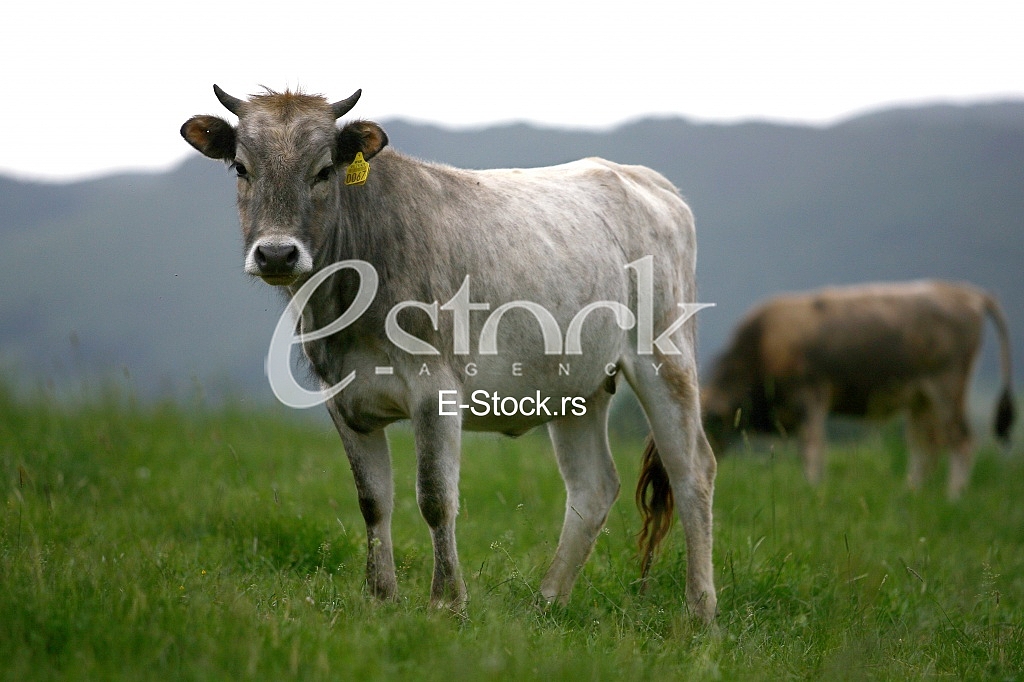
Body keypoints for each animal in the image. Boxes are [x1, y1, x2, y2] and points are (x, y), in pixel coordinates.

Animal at [180, 86, 717, 621]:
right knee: (594, 485)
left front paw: (447, 601)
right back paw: (547, 603)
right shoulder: (343, 398)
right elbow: (373, 500)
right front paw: (379, 597)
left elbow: (436, 498)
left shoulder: (435, 389)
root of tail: (645, 179)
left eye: (325, 170)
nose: (276, 253)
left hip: (666, 356)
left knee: (693, 470)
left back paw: (699, 610)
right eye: (241, 167)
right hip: (576, 387)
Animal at [702, 280, 1016, 498]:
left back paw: (953, 497)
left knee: (961, 441)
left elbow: (812, 450)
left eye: (706, 424)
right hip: (920, 399)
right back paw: (910, 494)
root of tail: (967, 293)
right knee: (926, 448)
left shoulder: (811, 395)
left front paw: (812, 488)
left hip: (947, 387)